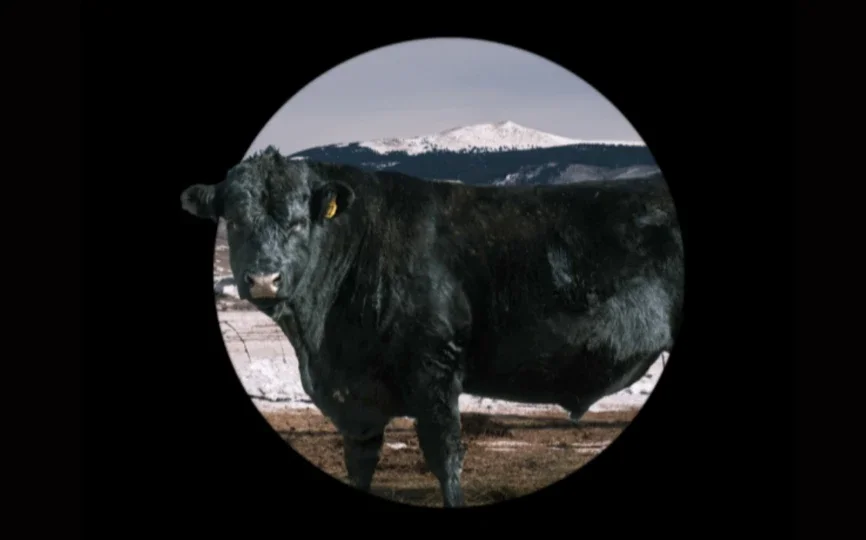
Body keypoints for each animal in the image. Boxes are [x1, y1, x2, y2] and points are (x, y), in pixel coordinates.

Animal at [180, 146, 685, 508]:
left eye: (300, 221)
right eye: (234, 220)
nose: (264, 279)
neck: (321, 341)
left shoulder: (435, 370)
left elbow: (445, 458)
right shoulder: (356, 401)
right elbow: (359, 463)